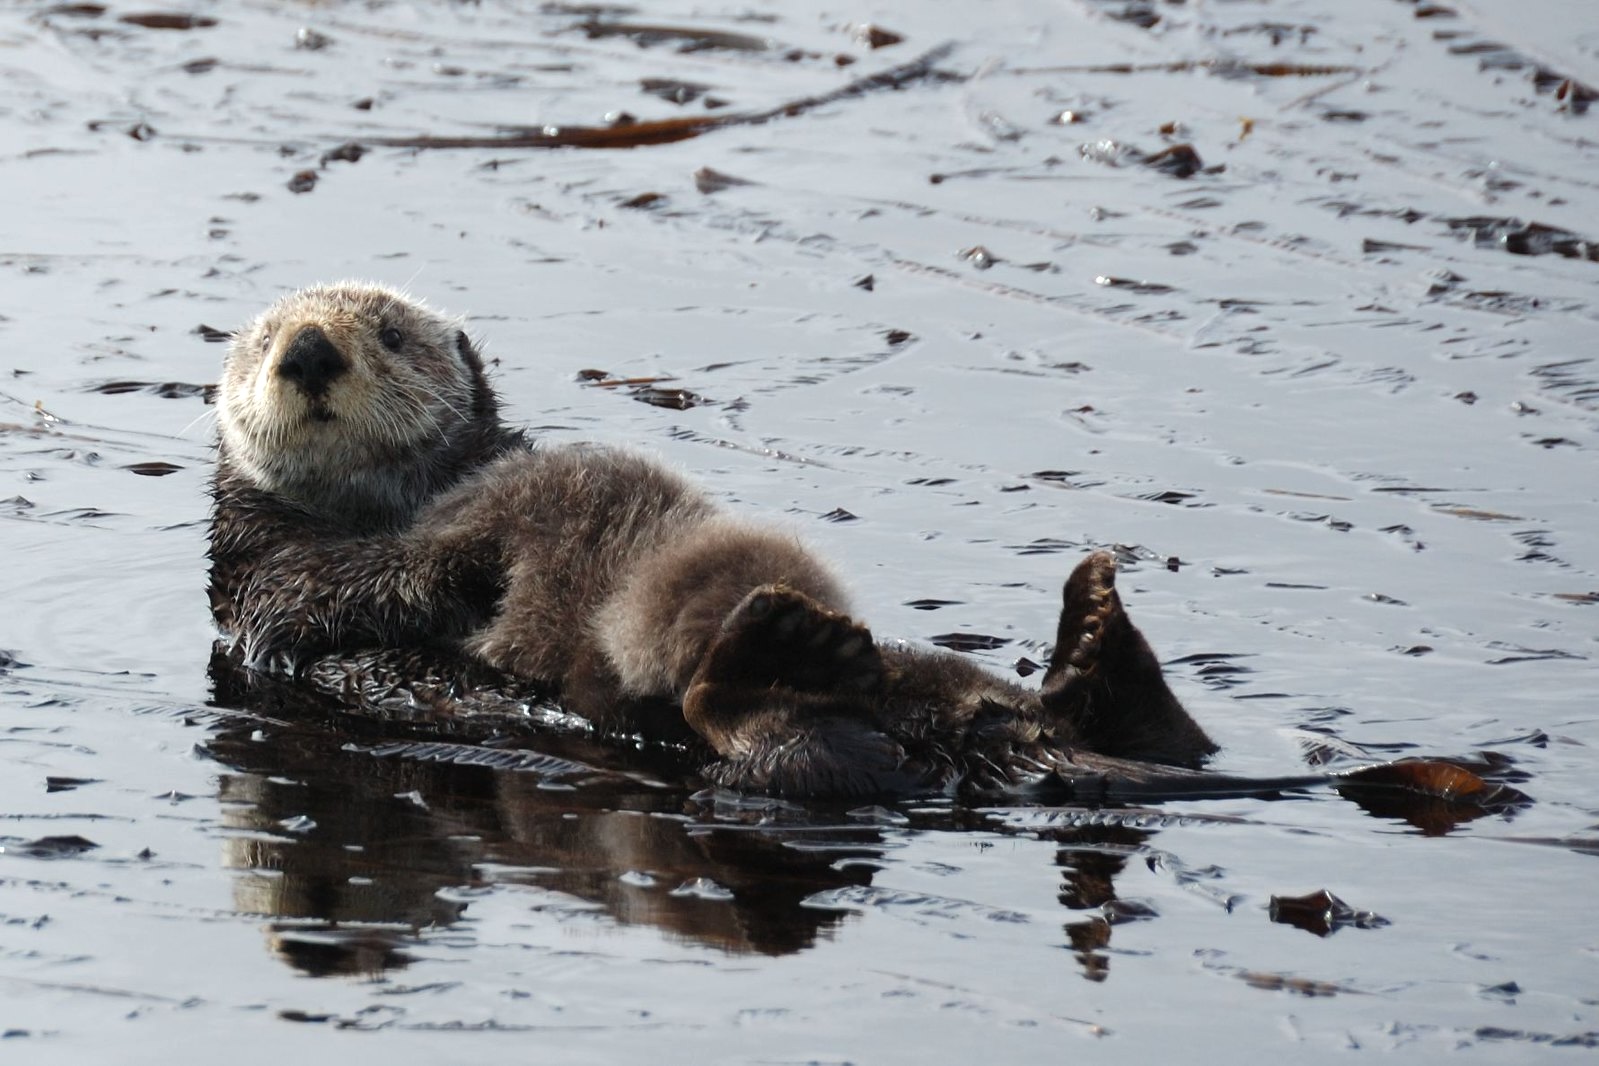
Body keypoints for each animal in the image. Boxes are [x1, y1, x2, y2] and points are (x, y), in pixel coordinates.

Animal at [209, 282, 1219, 797]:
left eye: (388, 334)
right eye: (261, 343)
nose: (307, 351)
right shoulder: (264, 573)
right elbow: (338, 588)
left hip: (942, 681)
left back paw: (1094, 627)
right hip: (755, 736)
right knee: (767, 737)